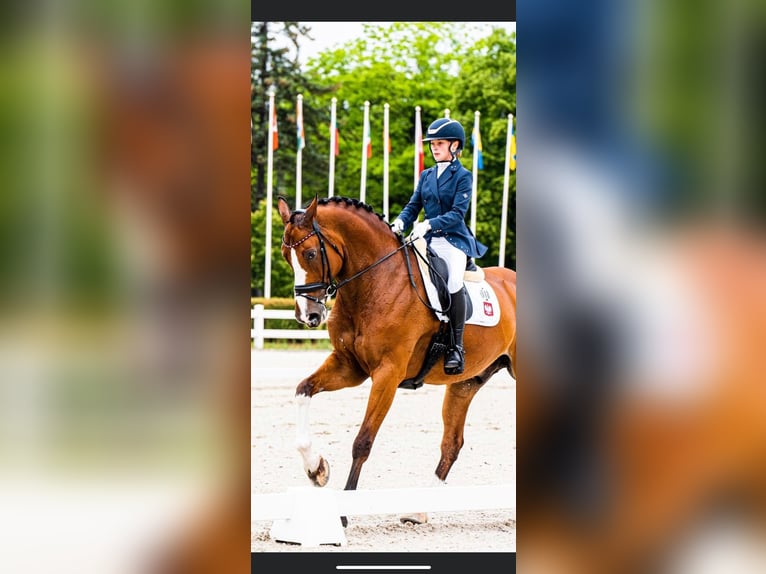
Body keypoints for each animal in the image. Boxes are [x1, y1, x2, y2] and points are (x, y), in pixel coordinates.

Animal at [276, 194, 517, 524]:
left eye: (311, 253)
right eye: (287, 257)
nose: (307, 316)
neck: (376, 282)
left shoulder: (387, 374)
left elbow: (362, 442)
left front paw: (344, 513)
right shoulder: (348, 366)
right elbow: (303, 390)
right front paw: (317, 469)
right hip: (465, 383)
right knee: (451, 444)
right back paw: (419, 511)